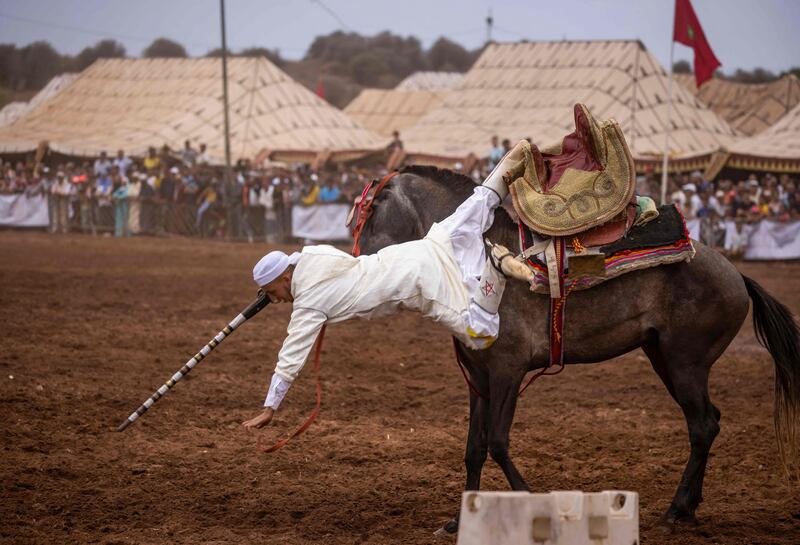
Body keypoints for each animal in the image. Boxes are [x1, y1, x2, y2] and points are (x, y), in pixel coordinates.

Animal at [354, 164, 800, 532]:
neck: (479, 260)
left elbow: (497, 441)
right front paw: (460, 520)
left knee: (703, 425)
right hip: (664, 359)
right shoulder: (478, 376)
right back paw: (689, 507)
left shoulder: (507, 370)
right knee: (708, 422)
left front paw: (533, 503)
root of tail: (737, 274)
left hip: (685, 364)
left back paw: (675, 510)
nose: (360, 262)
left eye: (372, 212)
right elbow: (474, 448)